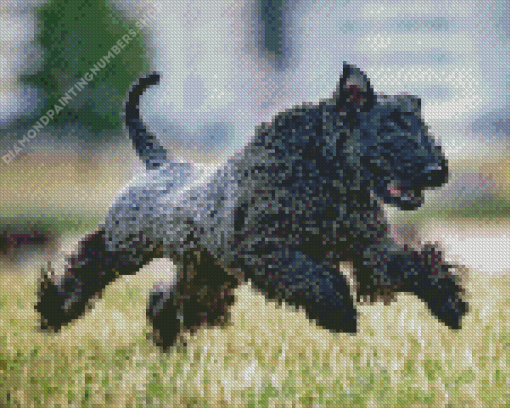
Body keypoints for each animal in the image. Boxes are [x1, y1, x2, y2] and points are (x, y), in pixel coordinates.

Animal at [34, 63, 466, 350]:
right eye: (391, 129)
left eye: (421, 125)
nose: (437, 170)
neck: (322, 170)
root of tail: (160, 163)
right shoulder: (267, 250)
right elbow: (319, 280)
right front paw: (340, 313)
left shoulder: (370, 249)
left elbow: (413, 266)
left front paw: (449, 302)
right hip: (126, 247)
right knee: (89, 262)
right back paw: (56, 309)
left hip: (206, 273)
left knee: (167, 299)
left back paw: (165, 338)